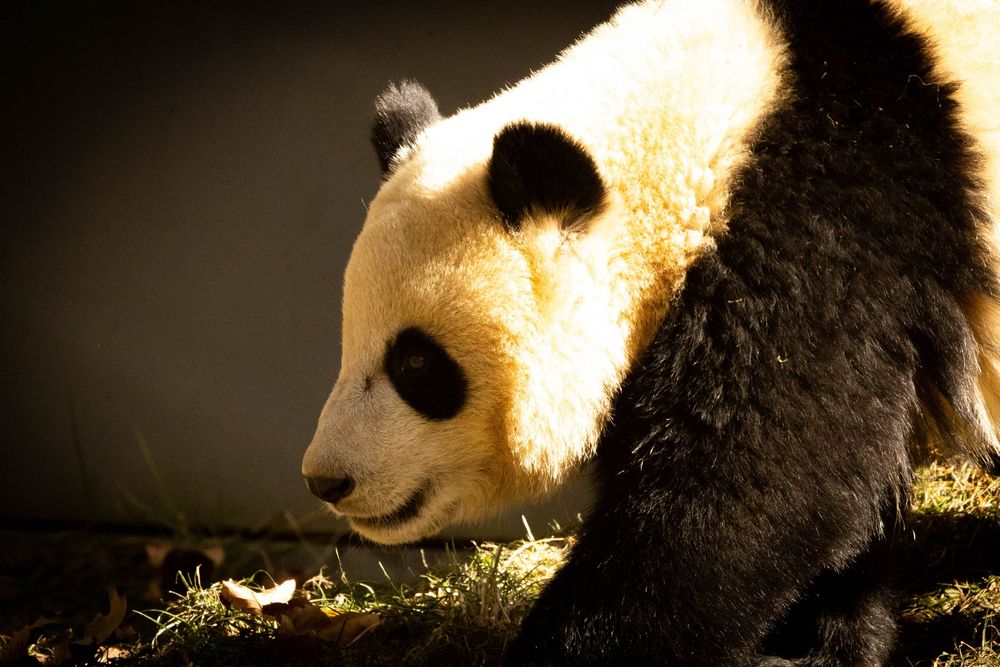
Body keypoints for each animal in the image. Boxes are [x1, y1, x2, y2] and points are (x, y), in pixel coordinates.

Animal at [301, 0, 1000, 664]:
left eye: (416, 364)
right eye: (347, 343)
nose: (326, 481)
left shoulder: (825, 224)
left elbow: (759, 474)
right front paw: (830, 641)